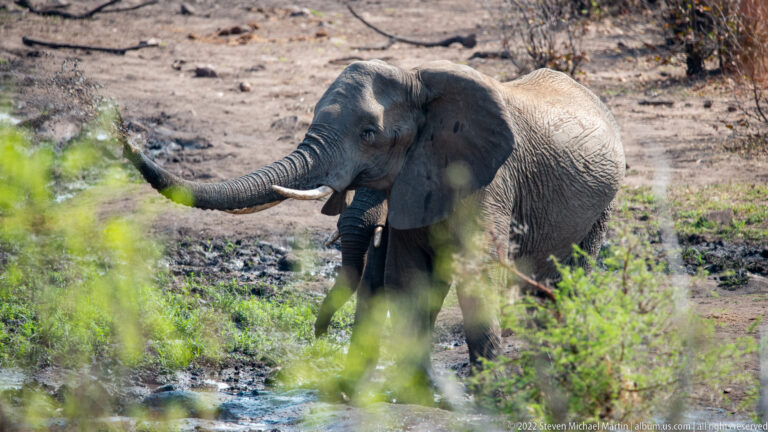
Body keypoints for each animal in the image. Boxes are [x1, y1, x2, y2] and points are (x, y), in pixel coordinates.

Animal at [123, 59, 625, 400]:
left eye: (368, 134)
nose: (123, 132)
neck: (418, 79)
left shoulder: (487, 182)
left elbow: (475, 277)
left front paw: (484, 398)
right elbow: (408, 281)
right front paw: (415, 395)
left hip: (603, 202)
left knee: (566, 280)